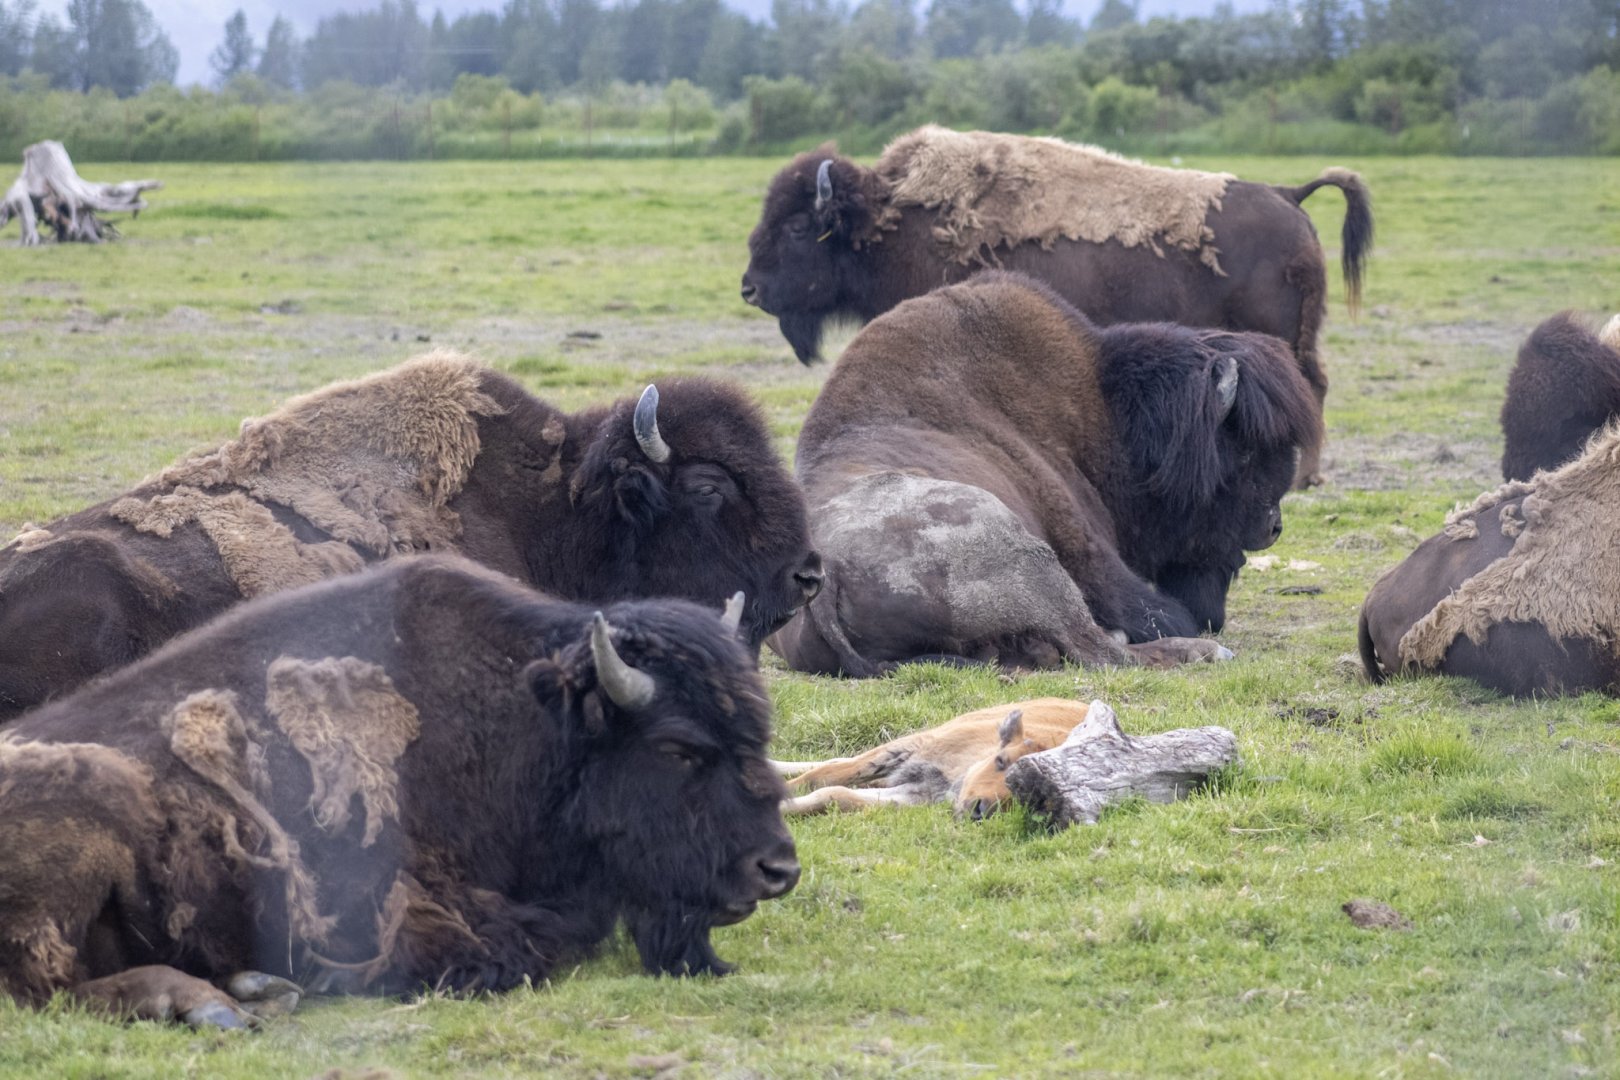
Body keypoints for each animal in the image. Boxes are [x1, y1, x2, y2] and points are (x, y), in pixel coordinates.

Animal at [0, 555, 799, 1026]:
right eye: (678, 747)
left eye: (758, 734)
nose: (778, 870)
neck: (532, 727)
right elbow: (517, 948)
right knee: (48, 989)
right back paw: (214, 1004)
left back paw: (253, 991)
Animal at [741, 125, 1371, 486]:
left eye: (797, 226)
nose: (749, 288)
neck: (885, 219)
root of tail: (1288, 194)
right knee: (1315, 386)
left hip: (1281, 337)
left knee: (1307, 390)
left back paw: (1303, 479)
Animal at [770, 272, 1320, 677]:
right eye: (1242, 455)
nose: (1272, 526)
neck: (1102, 408)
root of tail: (828, 576)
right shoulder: (1089, 552)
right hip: (1026, 557)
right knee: (1102, 651)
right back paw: (1202, 653)